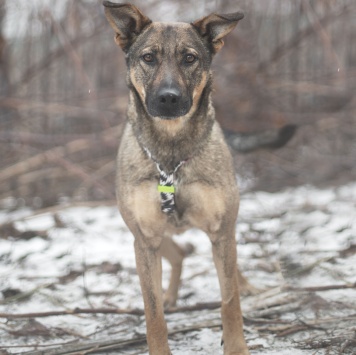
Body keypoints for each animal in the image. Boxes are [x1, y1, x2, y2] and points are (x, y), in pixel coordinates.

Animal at [102, 1, 250, 354]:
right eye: (148, 57)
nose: (168, 97)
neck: (171, 153)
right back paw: (171, 296)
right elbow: (152, 311)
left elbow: (230, 300)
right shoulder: (145, 238)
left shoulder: (221, 230)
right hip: (147, 235)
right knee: (178, 255)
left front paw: (236, 346)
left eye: (189, 58)